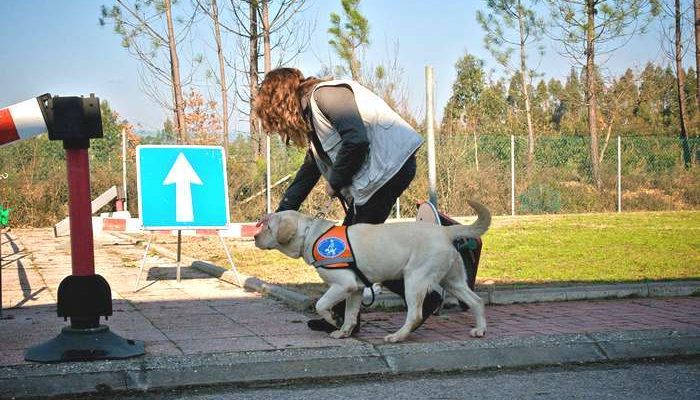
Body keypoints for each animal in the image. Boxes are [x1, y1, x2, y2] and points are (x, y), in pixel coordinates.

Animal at [253, 200, 492, 344]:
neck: (312, 234)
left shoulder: (343, 285)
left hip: (414, 280)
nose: (254, 237)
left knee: (415, 314)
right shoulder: (356, 289)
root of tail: (445, 231)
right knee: (476, 301)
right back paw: (480, 330)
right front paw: (344, 331)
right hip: (453, 281)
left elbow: (321, 305)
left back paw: (397, 336)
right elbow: (350, 315)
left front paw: (332, 319)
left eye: (268, 228)